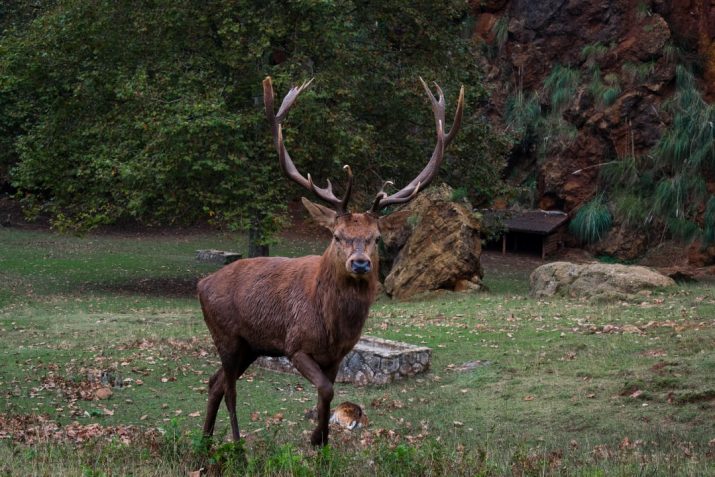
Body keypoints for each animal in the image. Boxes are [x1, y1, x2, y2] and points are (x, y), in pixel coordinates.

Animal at [197, 75, 464, 446]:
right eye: (337, 235)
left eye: (376, 238)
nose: (360, 263)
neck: (333, 325)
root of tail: (201, 283)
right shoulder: (295, 345)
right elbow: (325, 390)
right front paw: (315, 438)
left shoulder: (338, 354)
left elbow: (329, 394)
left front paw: (321, 440)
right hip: (226, 335)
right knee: (230, 388)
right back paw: (236, 444)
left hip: (251, 345)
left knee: (216, 382)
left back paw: (206, 442)